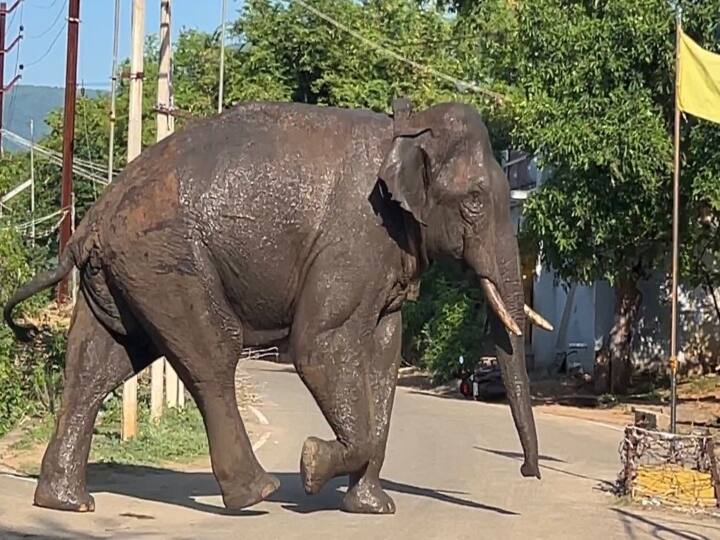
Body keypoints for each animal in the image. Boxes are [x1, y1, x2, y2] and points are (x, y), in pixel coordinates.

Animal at [4, 98, 552, 516]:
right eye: (475, 202)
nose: (529, 471)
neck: (407, 126)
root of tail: (91, 221)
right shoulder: (356, 238)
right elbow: (320, 344)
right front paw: (310, 465)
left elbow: (384, 355)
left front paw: (372, 509)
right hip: (166, 259)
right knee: (211, 356)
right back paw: (256, 494)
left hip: (125, 272)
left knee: (99, 364)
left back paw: (67, 502)